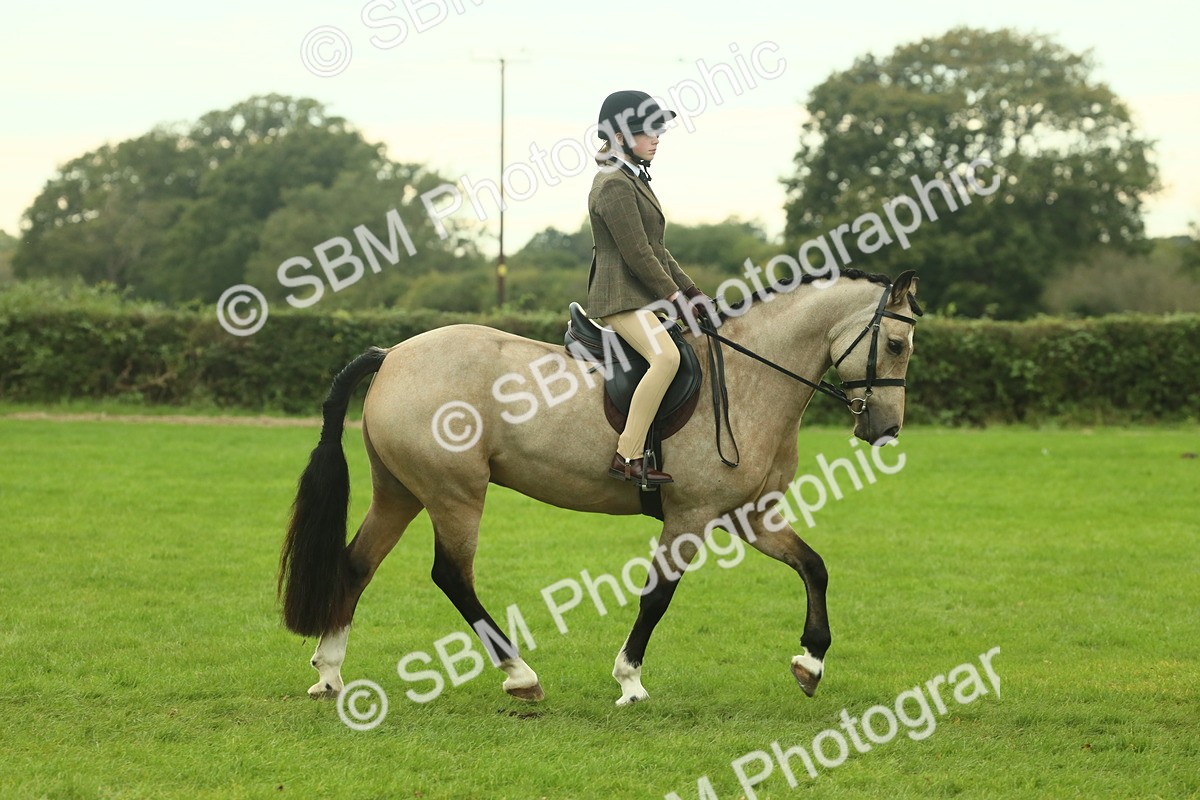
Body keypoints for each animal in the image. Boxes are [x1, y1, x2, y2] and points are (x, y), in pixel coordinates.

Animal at [278, 268, 920, 705]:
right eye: (895, 344)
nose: (885, 429)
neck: (748, 377)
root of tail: (392, 355)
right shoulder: (690, 516)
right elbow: (657, 596)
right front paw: (629, 679)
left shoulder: (751, 515)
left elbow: (814, 567)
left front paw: (810, 663)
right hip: (454, 494)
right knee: (451, 576)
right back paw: (521, 676)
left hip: (401, 491)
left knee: (357, 564)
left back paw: (330, 671)